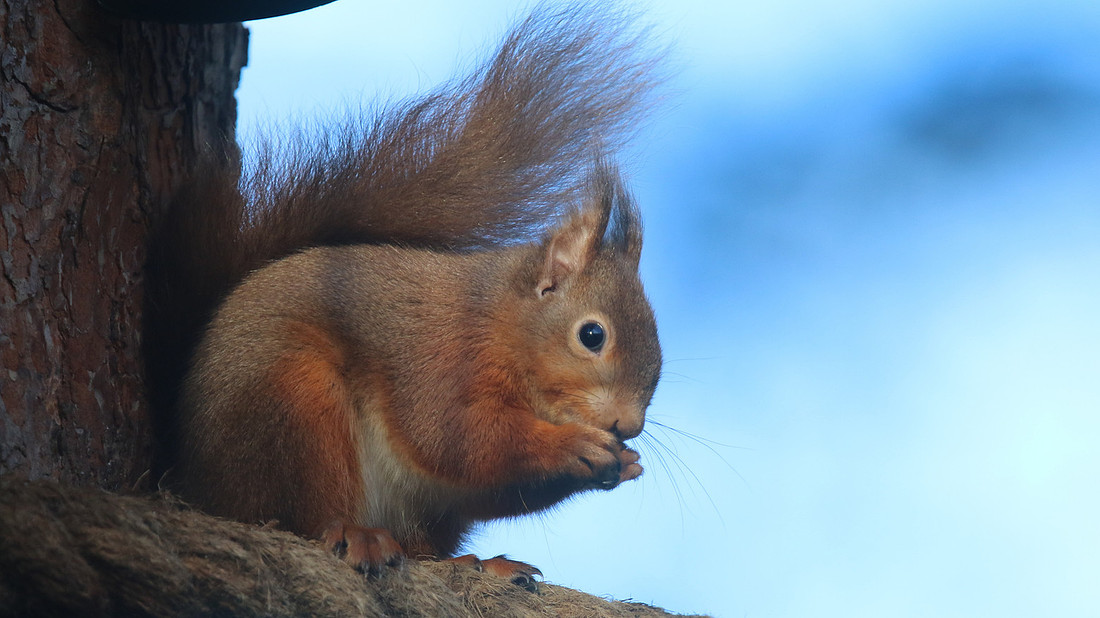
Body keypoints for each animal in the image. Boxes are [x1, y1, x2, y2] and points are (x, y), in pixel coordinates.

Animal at [143, 2, 663, 583]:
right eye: (592, 335)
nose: (628, 426)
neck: (499, 325)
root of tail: (193, 479)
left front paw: (623, 463)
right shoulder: (436, 357)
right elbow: (457, 439)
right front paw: (574, 445)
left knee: (422, 545)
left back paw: (477, 562)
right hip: (293, 402)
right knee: (298, 513)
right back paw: (356, 534)